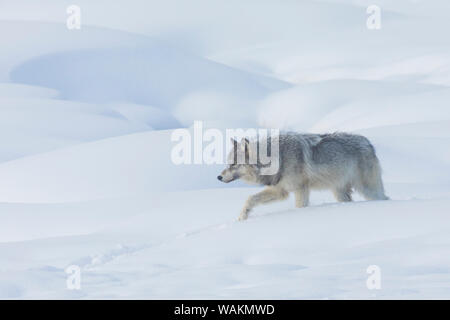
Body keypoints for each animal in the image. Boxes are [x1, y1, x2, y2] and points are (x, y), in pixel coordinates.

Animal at [217, 132, 386, 220]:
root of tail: (368, 143)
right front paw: (242, 217)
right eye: (228, 163)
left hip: (368, 190)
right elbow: (250, 199)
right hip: (340, 193)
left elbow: (300, 207)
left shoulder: (300, 189)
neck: (279, 157)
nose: (219, 177)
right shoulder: (280, 190)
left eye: (233, 164)